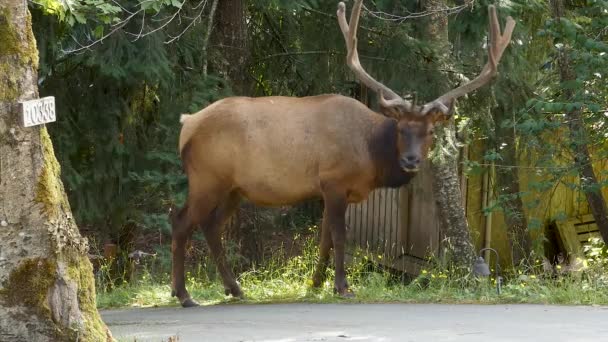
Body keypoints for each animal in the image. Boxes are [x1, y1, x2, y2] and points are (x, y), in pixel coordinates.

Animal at [172, 0, 516, 308]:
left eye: (430, 132)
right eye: (400, 128)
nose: (411, 160)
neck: (371, 156)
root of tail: (186, 124)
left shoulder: (328, 189)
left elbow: (324, 238)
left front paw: (315, 283)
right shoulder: (334, 182)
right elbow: (339, 236)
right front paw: (342, 286)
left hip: (234, 188)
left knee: (211, 226)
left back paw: (233, 288)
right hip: (207, 177)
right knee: (181, 221)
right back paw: (184, 294)